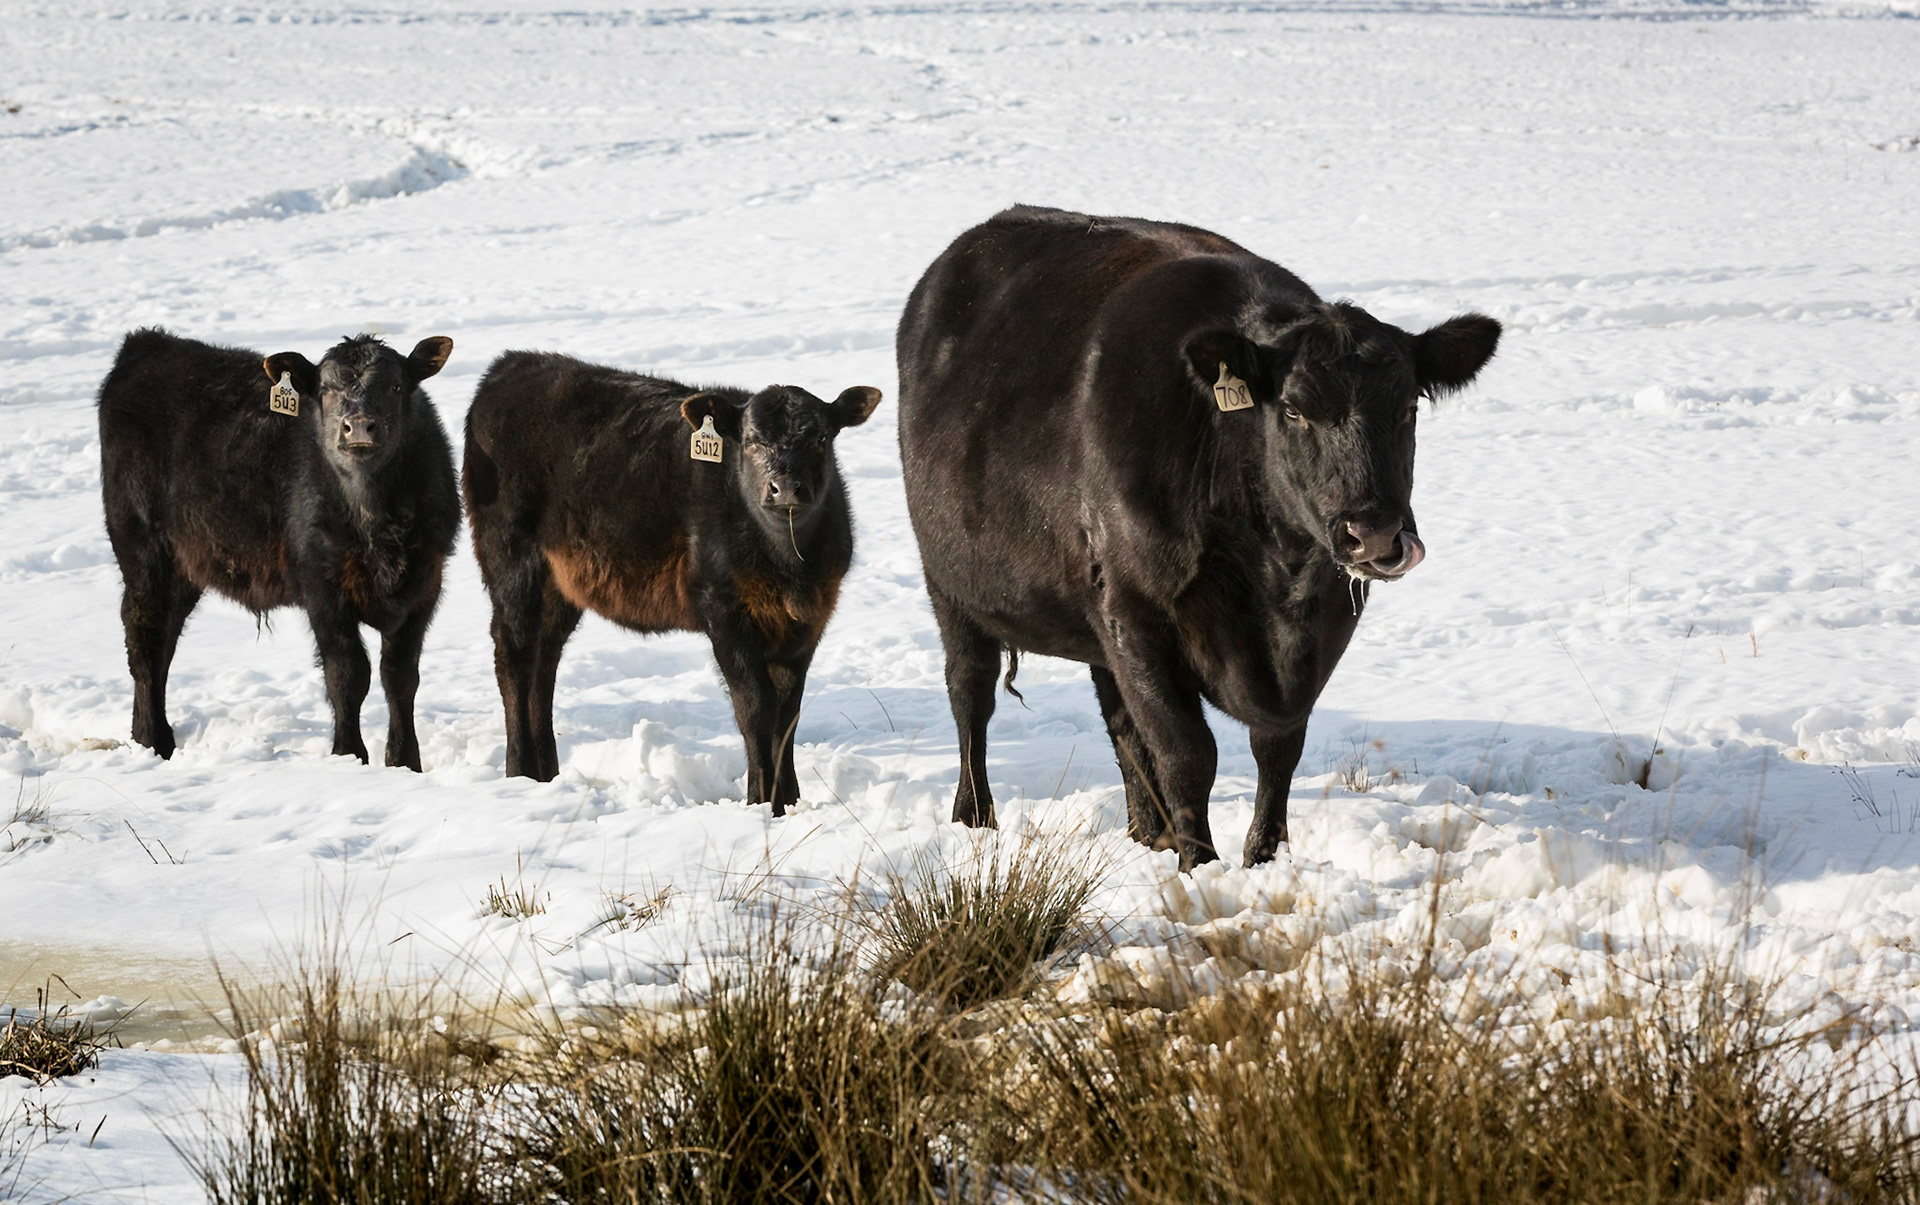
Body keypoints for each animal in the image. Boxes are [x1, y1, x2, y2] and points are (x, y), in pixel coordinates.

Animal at [98, 328, 460, 769]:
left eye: (395, 386)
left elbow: (401, 676)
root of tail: (147, 343)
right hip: (142, 547)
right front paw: (348, 755)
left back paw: (149, 737)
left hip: (185, 566)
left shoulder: (425, 584)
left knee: (164, 639)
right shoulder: (321, 585)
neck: (375, 521)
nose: (357, 427)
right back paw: (153, 741)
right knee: (145, 638)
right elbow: (347, 675)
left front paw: (405, 761)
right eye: (325, 389)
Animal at [461, 351, 881, 812]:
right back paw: (519, 770)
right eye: (751, 440)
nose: (785, 487)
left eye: (821, 438)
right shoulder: (723, 612)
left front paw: (787, 798)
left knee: (544, 661)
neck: (789, 567)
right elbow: (756, 709)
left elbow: (787, 714)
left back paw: (546, 773)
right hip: (511, 561)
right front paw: (762, 803)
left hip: (560, 585)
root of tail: (513, 364)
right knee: (514, 656)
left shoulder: (808, 621)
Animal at [896, 205, 1501, 870]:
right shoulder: (1138, 613)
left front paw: (1262, 862)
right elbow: (1188, 753)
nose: (1373, 534)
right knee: (970, 692)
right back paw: (975, 819)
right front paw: (1200, 870)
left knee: (1120, 722)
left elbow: (1276, 748)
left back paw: (1147, 834)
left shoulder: (1322, 625)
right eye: (1293, 410)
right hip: (951, 583)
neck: (1274, 581)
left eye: (1409, 408)